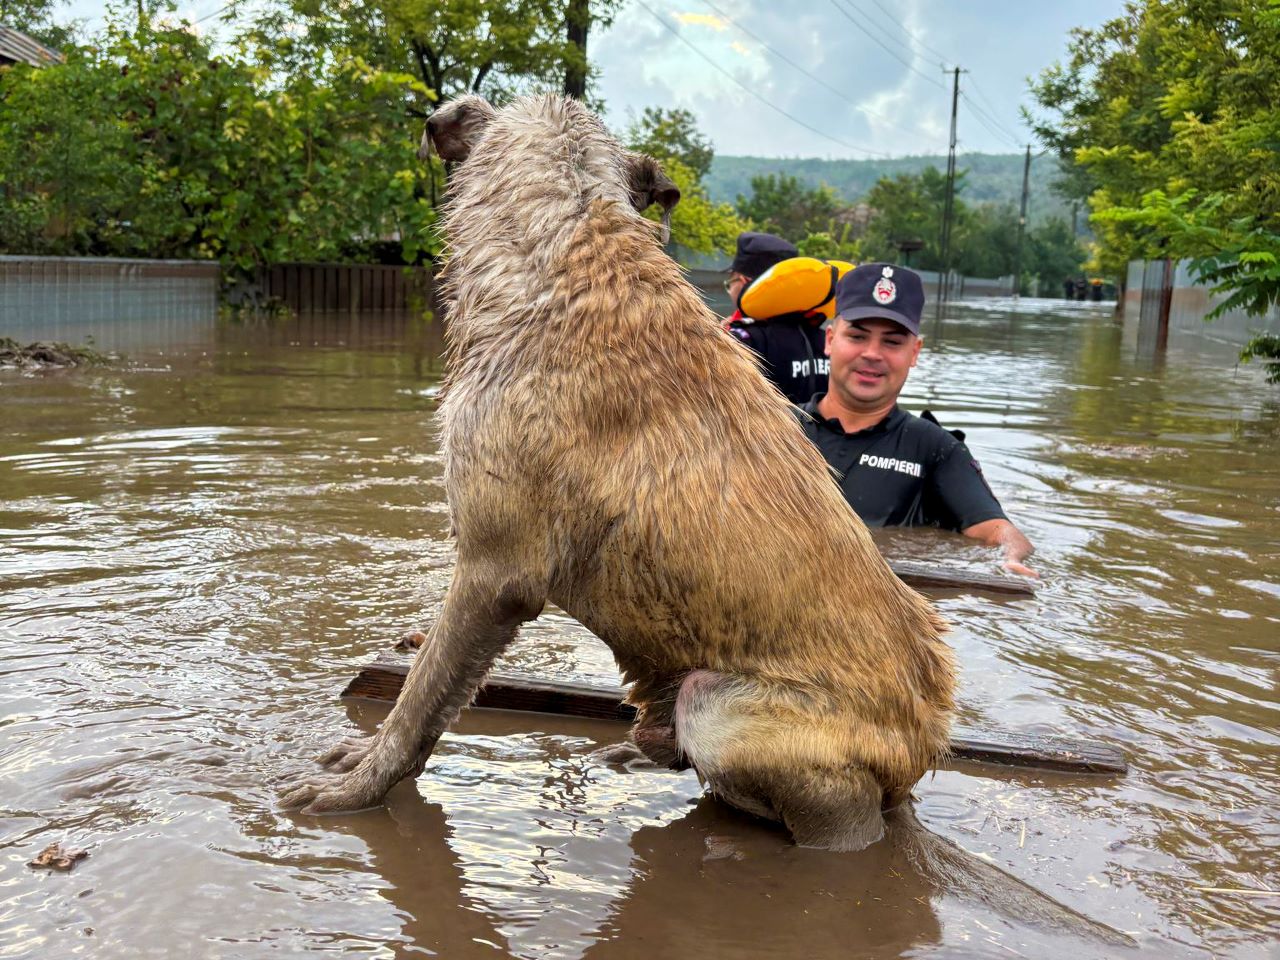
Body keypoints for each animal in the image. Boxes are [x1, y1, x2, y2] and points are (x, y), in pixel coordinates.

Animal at [285, 94, 957, 855]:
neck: (568, 245)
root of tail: (924, 746)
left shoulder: (493, 572)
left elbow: (420, 700)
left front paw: (358, 787)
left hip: (722, 708)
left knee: (838, 813)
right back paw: (637, 753)